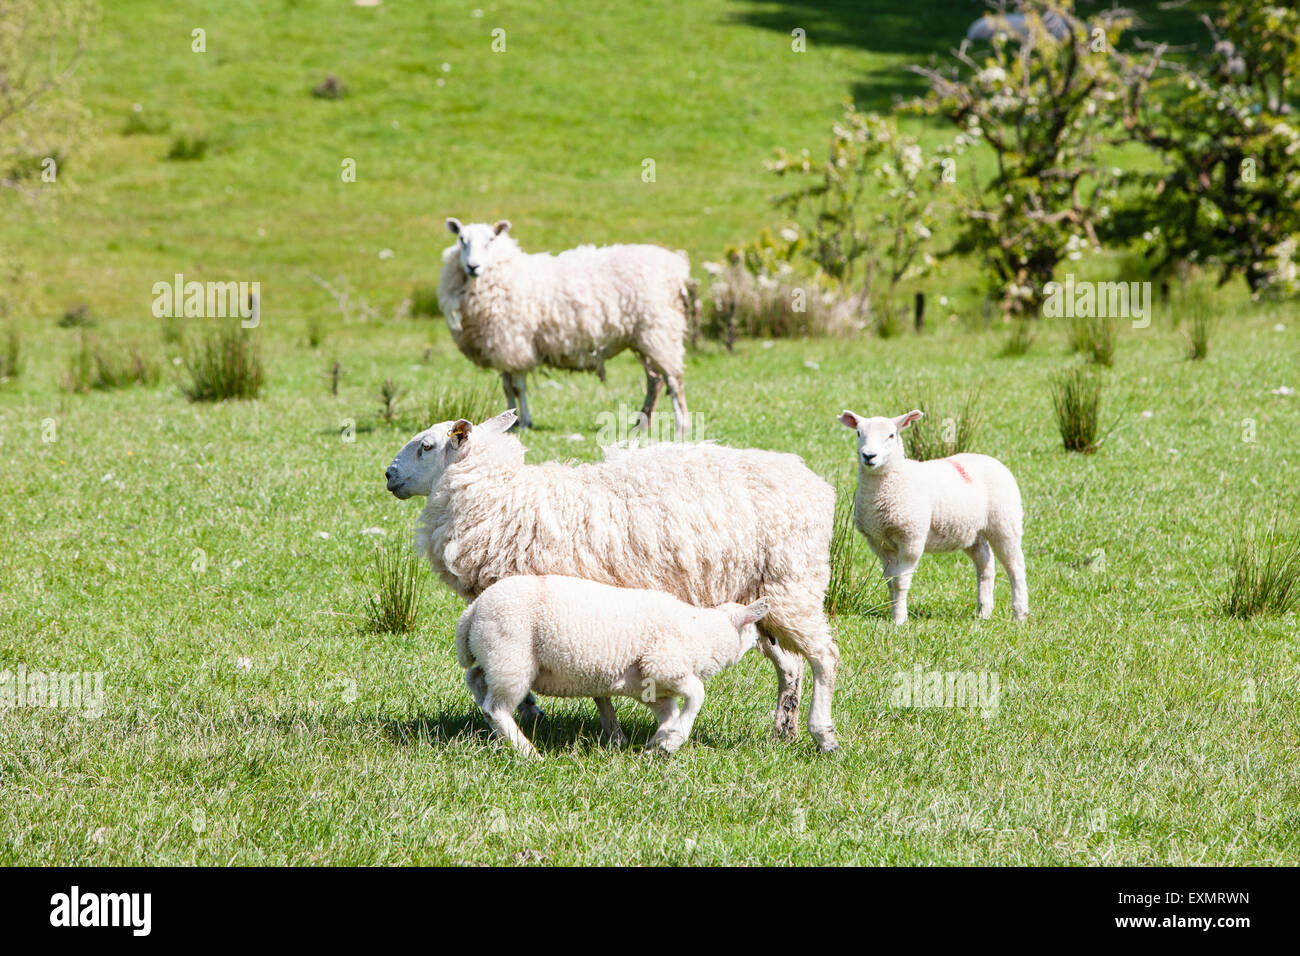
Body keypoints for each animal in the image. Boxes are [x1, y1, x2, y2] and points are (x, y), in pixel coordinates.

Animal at [437, 218, 693, 434]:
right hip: (645, 336)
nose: (473, 266)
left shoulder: (514, 342)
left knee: (674, 380)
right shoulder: (501, 346)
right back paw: (642, 424)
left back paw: (681, 426)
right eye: (462, 239)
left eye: (491, 240)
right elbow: (507, 387)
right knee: (655, 380)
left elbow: (518, 387)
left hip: (659, 329)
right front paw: (509, 422)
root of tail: (677, 270)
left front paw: (524, 422)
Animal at [456, 574, 770, 758]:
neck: (704, 634)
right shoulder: (663, 664)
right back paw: (528, 752)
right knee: (496, 707)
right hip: (511, 656)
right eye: (756, 630)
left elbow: (669, 712)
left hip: (495, 655)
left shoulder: (648, 686)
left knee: (475, 679)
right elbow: (697, 694)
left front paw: (659, 743)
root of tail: (473, 611)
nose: (772, 641)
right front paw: (674, 740)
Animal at [838, 408, 1028, 625]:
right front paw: (894, 613)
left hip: (1005, 523)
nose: (869, 456)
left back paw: (1019, 614)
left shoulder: (911, 537)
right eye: (858, 433)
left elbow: (901, 582)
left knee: (1016, 567)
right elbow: (891, 582)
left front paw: (900, 619)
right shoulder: (879, 542)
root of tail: (994, 461)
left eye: (891, 435)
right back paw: (983, 612)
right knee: (986, 565)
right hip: (972, 531)